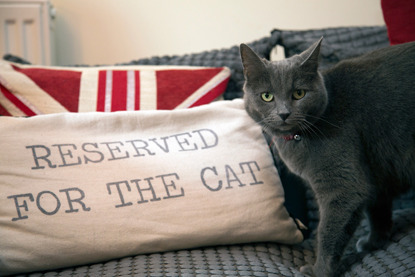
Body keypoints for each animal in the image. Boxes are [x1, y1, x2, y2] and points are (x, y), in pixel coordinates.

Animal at [240, 37, 415, 274]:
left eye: (299, 93)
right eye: (267, 96)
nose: (284, 113)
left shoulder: (343, 185)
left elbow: (327, 231)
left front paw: (318, 271)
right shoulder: (374, 172)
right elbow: (377, 209)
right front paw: (374, 242)